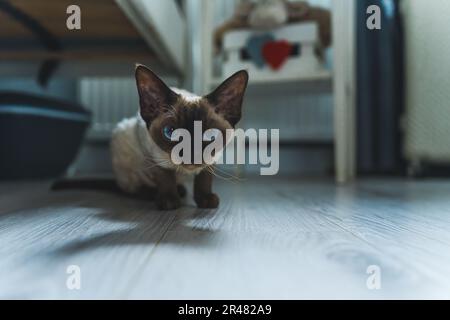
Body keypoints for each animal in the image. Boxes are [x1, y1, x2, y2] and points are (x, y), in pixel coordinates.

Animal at [110, 64, 250, 210]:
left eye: (210, 135)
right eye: (170, 132)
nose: (191, 155)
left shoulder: (213, 157)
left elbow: (205, 177)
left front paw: (205, 198)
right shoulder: (156, 154)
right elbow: (165, 175)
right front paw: (169, 200)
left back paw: (181, 189)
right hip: (125, 144)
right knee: (130, 187)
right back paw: (153, 193)